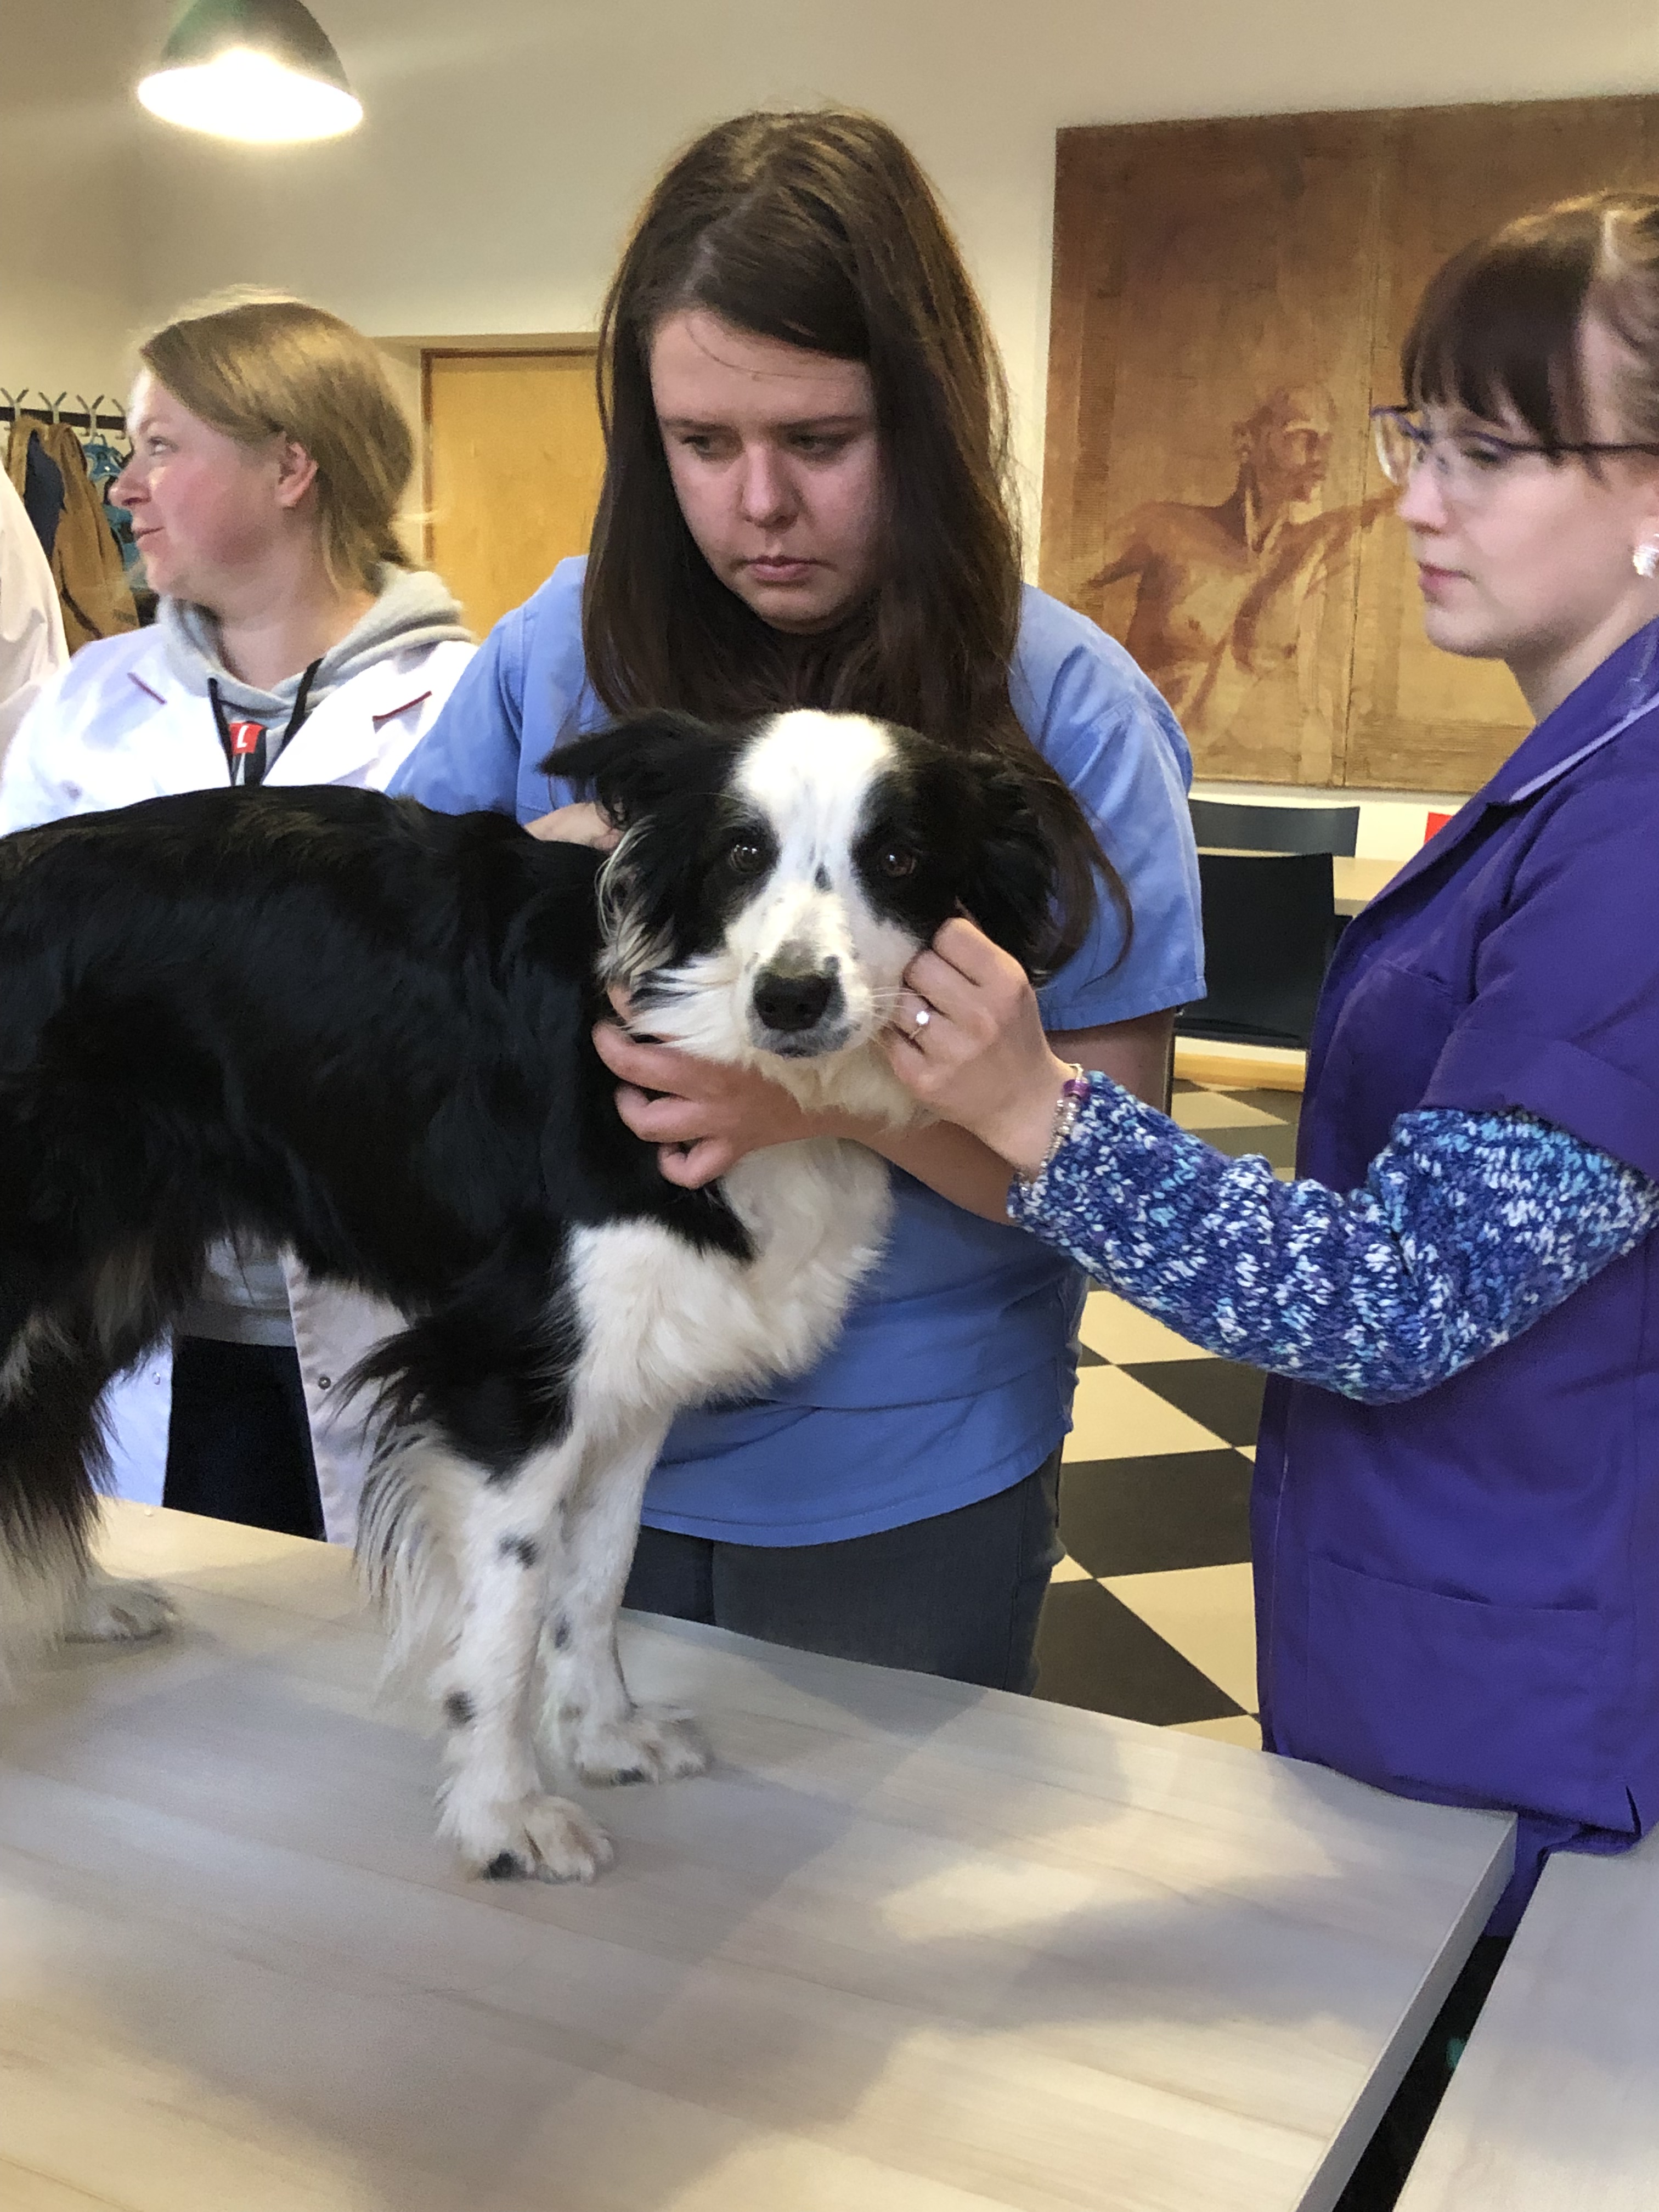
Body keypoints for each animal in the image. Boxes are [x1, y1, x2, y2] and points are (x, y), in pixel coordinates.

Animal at [0, 706, 1058, 1880]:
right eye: (742, 853)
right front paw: (502, 1813)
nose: (790, 998)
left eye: (900, 859)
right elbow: (504, 1622)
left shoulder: (628, 1380)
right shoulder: (510, 1381)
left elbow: (595, 1576)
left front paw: (603, 1735)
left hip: (94, 1281)